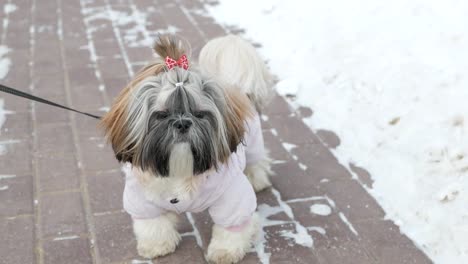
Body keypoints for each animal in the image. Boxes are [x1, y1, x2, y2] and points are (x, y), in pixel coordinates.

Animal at [100, 34, 272, 262]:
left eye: (199, 114)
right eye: (162, 114)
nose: (182, 123)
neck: (180, 167)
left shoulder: (231, 196)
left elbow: (232, 227)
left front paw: (225, 252)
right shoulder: (142, 199)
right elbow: (152, 225)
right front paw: (156, 245)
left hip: (252, 142)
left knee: (256, 161)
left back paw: (257, 179)